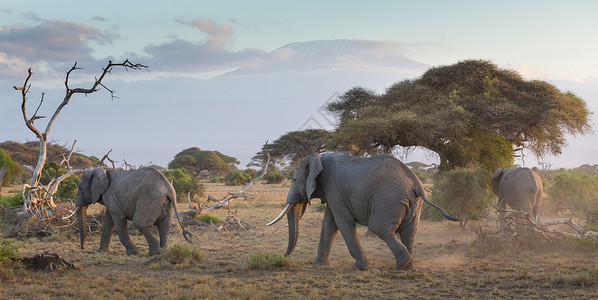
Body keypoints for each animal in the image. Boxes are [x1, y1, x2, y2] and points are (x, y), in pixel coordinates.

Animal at [268, 152, 460, 270]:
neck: (318, 156)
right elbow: (329, 223)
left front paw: (360, 267)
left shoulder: (333, 187)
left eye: (293, 179)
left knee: (380, 227)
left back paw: (402, 264)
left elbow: (342, 222)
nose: (284, 257)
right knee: (409, 232)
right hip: (413, 204)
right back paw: (408, 267)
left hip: (388, 200)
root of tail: (417, 184)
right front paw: (319, 265)